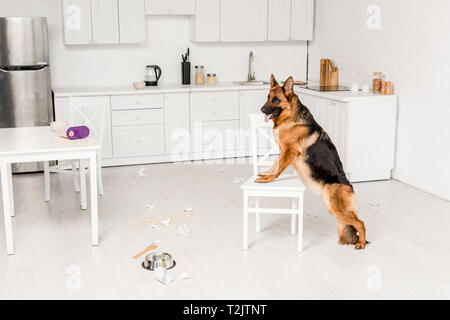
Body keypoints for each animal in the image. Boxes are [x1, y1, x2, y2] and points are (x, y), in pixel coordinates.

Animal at [256, 75, 366, 250]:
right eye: (268, 97)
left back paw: (361, 243)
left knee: (360, 223)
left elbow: (279, 167)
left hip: (334, 207)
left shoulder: (290, 151)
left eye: (276, 100)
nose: (261, 109)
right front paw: (266, 173)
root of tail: (348, 184)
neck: (290, 116)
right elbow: (275, 164)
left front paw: (268, 179)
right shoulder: (283, 151)